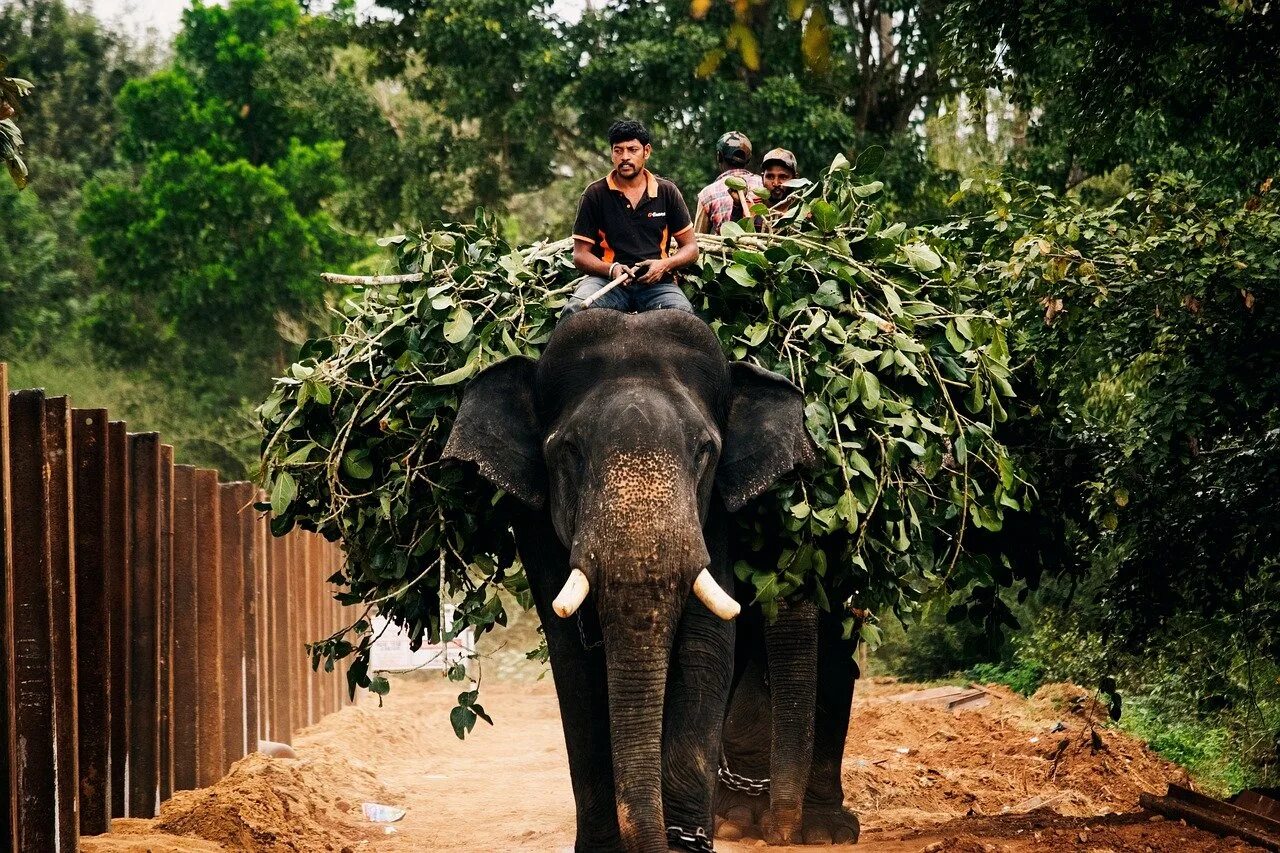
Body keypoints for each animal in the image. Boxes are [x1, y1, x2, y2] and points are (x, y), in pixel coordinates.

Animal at [445, 307, 814, 850]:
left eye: (705, 450)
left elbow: (706, 646)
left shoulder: (715, 516)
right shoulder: (535, 522)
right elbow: (573, 663)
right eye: (569, 450)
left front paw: (686, 844)